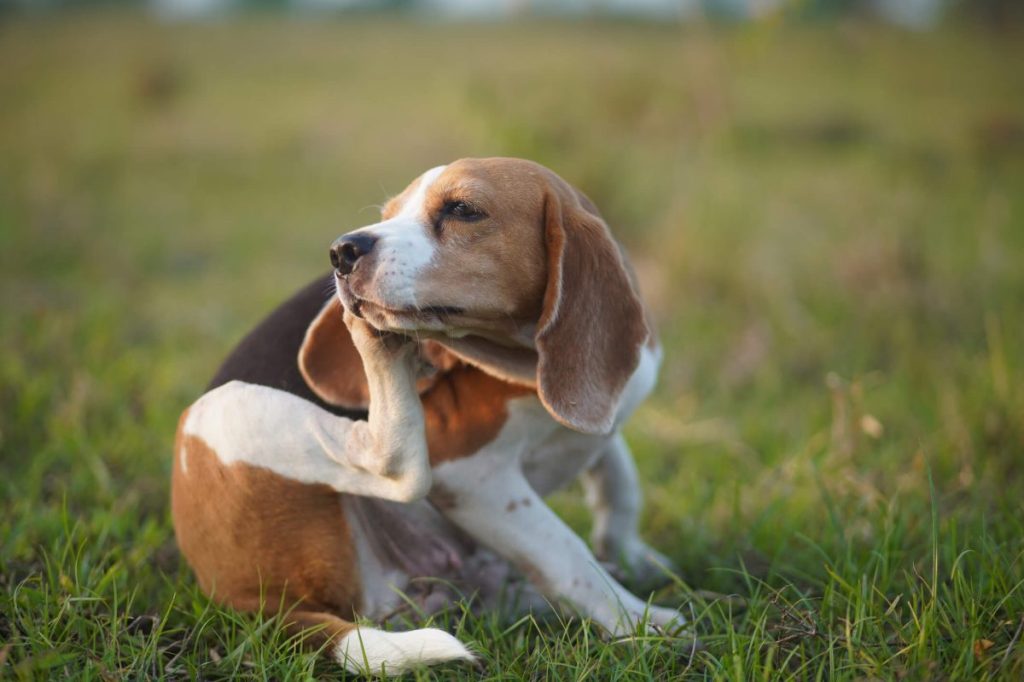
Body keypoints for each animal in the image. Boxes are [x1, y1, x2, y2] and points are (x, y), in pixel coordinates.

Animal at [172, 156, 684, 671]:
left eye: (463, 209)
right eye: (389, 214)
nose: (342, 252)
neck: (524, 359)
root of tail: (253, 603)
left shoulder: (604, 426)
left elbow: (620, 485)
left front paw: (632, 558)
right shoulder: (469, 474)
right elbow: (567, 553)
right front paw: (638, 620)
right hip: (227, 409)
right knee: (394, 467)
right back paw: (373, 341)